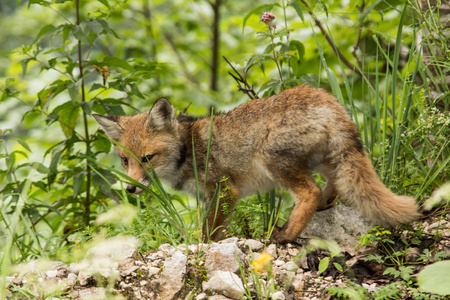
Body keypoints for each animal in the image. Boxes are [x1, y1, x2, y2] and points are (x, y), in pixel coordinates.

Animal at [93, 85, 420, 244]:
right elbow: (209, 227)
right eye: (125, 160)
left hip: (272, 160)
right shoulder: (208, 197)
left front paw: (201, 247)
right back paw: (324, 205)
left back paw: (287, 234)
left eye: (148, 158)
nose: (130, 189)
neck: (188, 150)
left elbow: (208, 231)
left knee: (310, 192)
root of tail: (327, 100)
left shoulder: (223, 191)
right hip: (325, 160)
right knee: (334, 183)